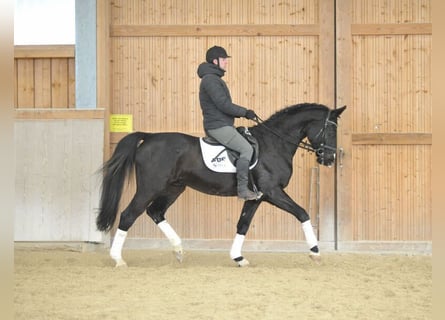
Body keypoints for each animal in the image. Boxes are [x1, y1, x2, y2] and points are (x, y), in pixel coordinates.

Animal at [97, 103, 346, 268]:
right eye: (332, 129)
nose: (330, 159)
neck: (273, 143)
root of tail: (148, 137)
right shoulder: (273, 192)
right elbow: (302, 213)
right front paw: (315, 251)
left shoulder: (257, 197)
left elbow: (243, 224)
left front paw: (238, 257)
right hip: (149, 188)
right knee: (129, 215)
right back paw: (118, 259)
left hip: (173, 188)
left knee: (155, 212)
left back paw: (179, 250)